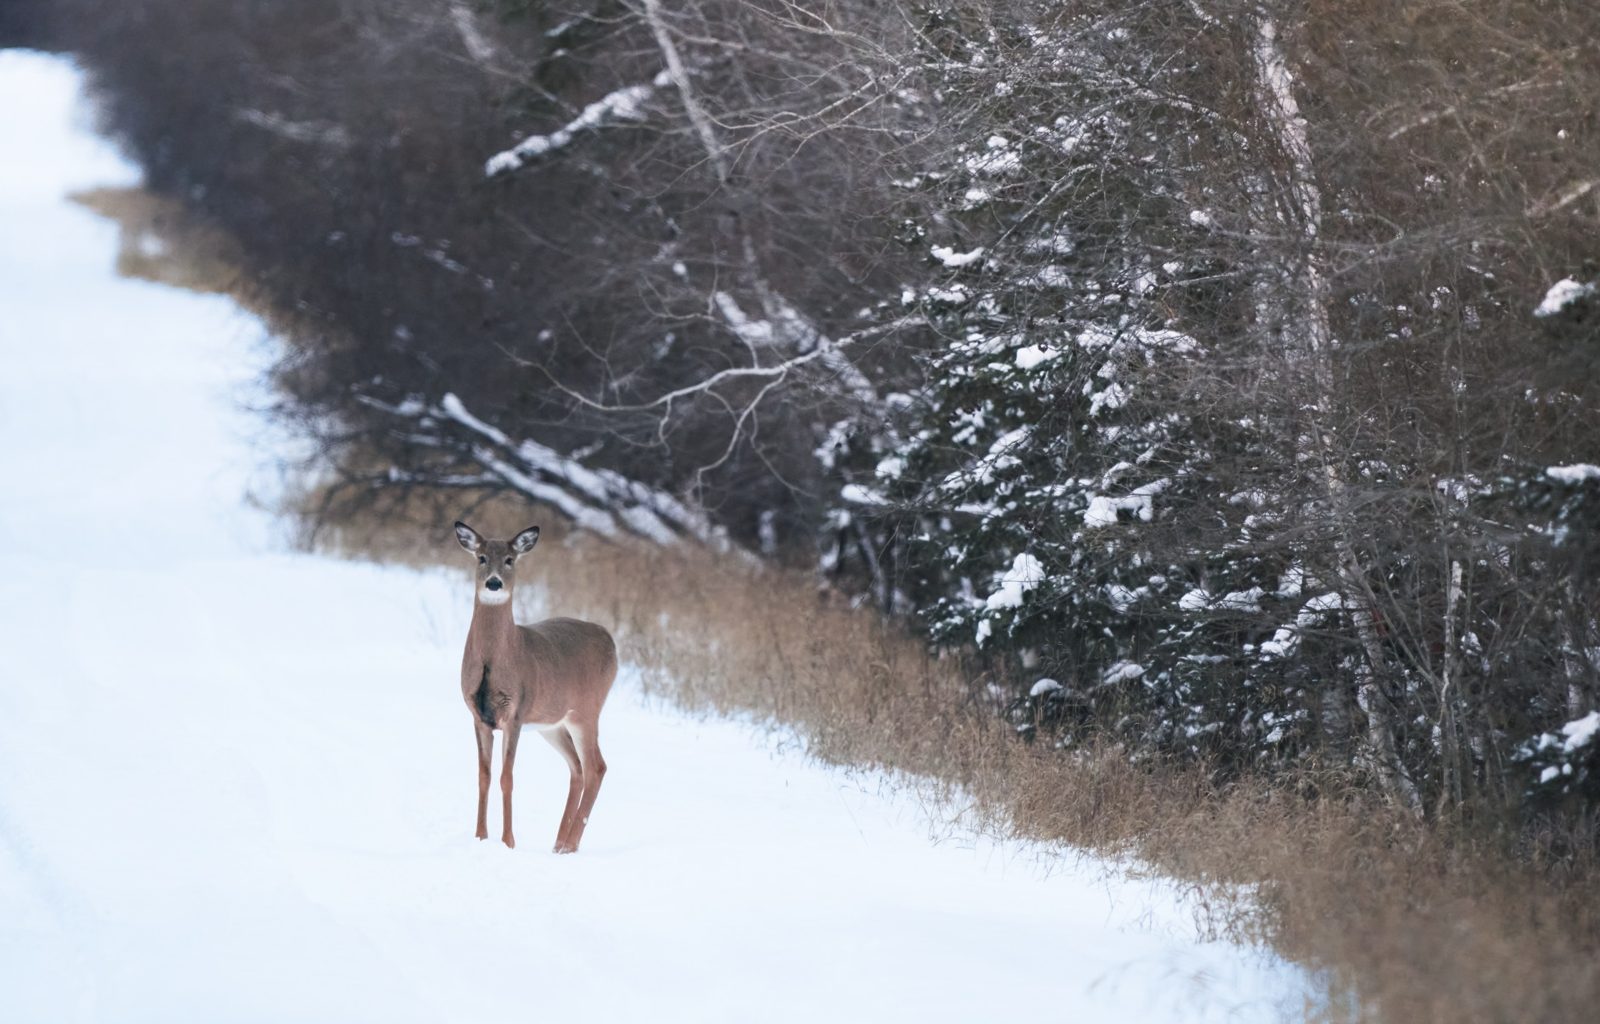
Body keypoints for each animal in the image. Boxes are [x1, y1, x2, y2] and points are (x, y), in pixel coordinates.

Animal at [453, 521, 617, 853]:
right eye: (481, 557)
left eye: (509, 559)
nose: (493, 583)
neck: (496, 659)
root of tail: (611, 641)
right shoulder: (478, 716)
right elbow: (484, 776)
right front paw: (480, 837)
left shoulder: (515, 712)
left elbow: (507, 777)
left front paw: (508, 841)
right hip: (552, 724)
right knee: (577, 768)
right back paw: (558, 843)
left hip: (586, 711)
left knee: (596, 767)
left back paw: (570, 846)